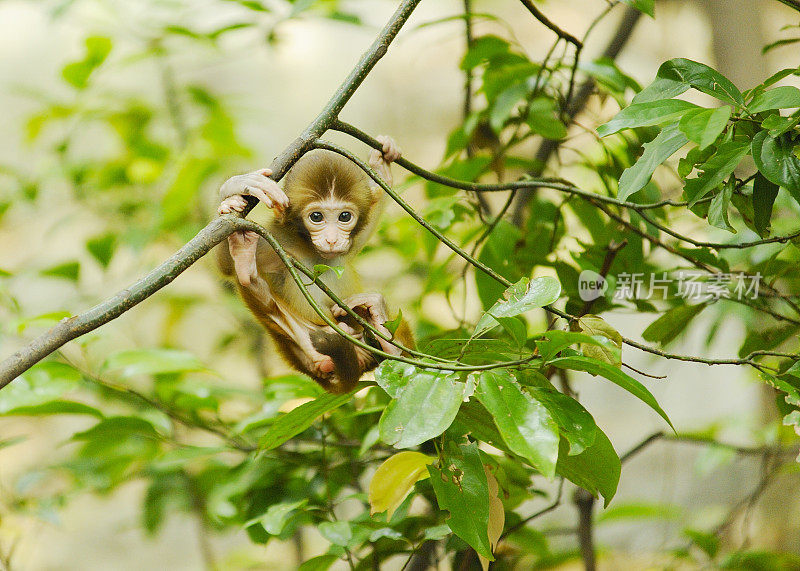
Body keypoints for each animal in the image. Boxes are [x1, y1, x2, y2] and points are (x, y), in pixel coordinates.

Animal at [217, 139, 412, 394]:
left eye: (344, 216)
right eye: (316, 217)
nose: (331, 239)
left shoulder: (352, 242)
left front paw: (382, 162)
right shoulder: (273, 243)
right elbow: (224, 265)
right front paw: (234, 191)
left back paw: (382, 329)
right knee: (257, 292)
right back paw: (244, 262)